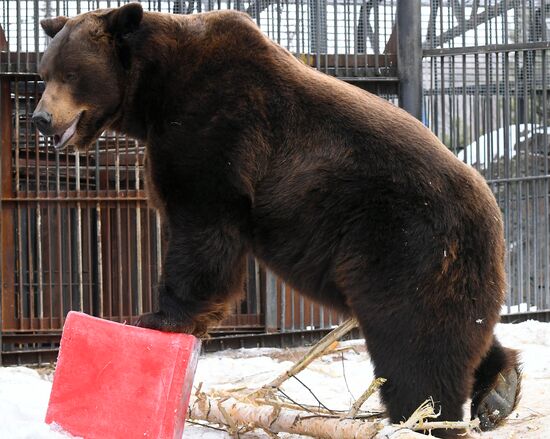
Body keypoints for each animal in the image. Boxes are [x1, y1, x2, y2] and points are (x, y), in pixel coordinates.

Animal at [33, 2, 520, 436]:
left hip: (405, 244)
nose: (40, 118)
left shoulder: (216, 123)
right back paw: (499, 389)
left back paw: (426, 417)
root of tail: (495, 218)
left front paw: (155, 316)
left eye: (71, 73)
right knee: (458, 331)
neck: (154, 92)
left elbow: (201, 223)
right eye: (44, 72)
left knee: (413, 345)